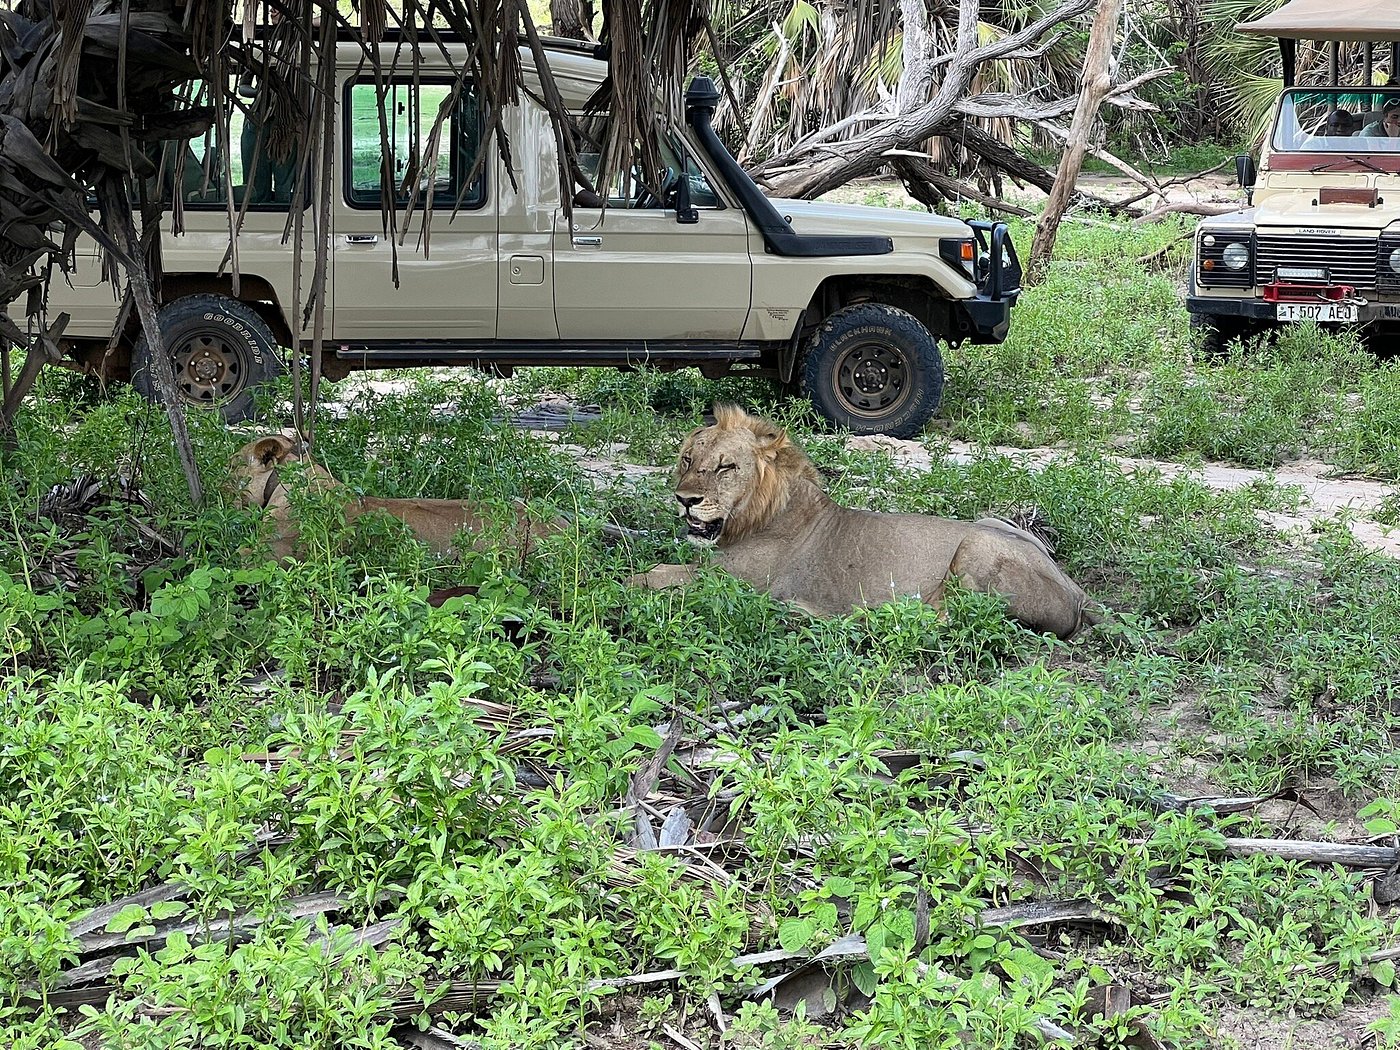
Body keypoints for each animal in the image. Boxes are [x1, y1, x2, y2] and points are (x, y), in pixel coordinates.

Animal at [632, 406, 1103, 641]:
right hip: (993, 522)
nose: (685, 500)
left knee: (948, 620)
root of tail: (1078, 592)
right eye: (687, 460)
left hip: (976, 548)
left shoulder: (733, 582)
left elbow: (658, 573)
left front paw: (629, 582)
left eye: (725, 466)